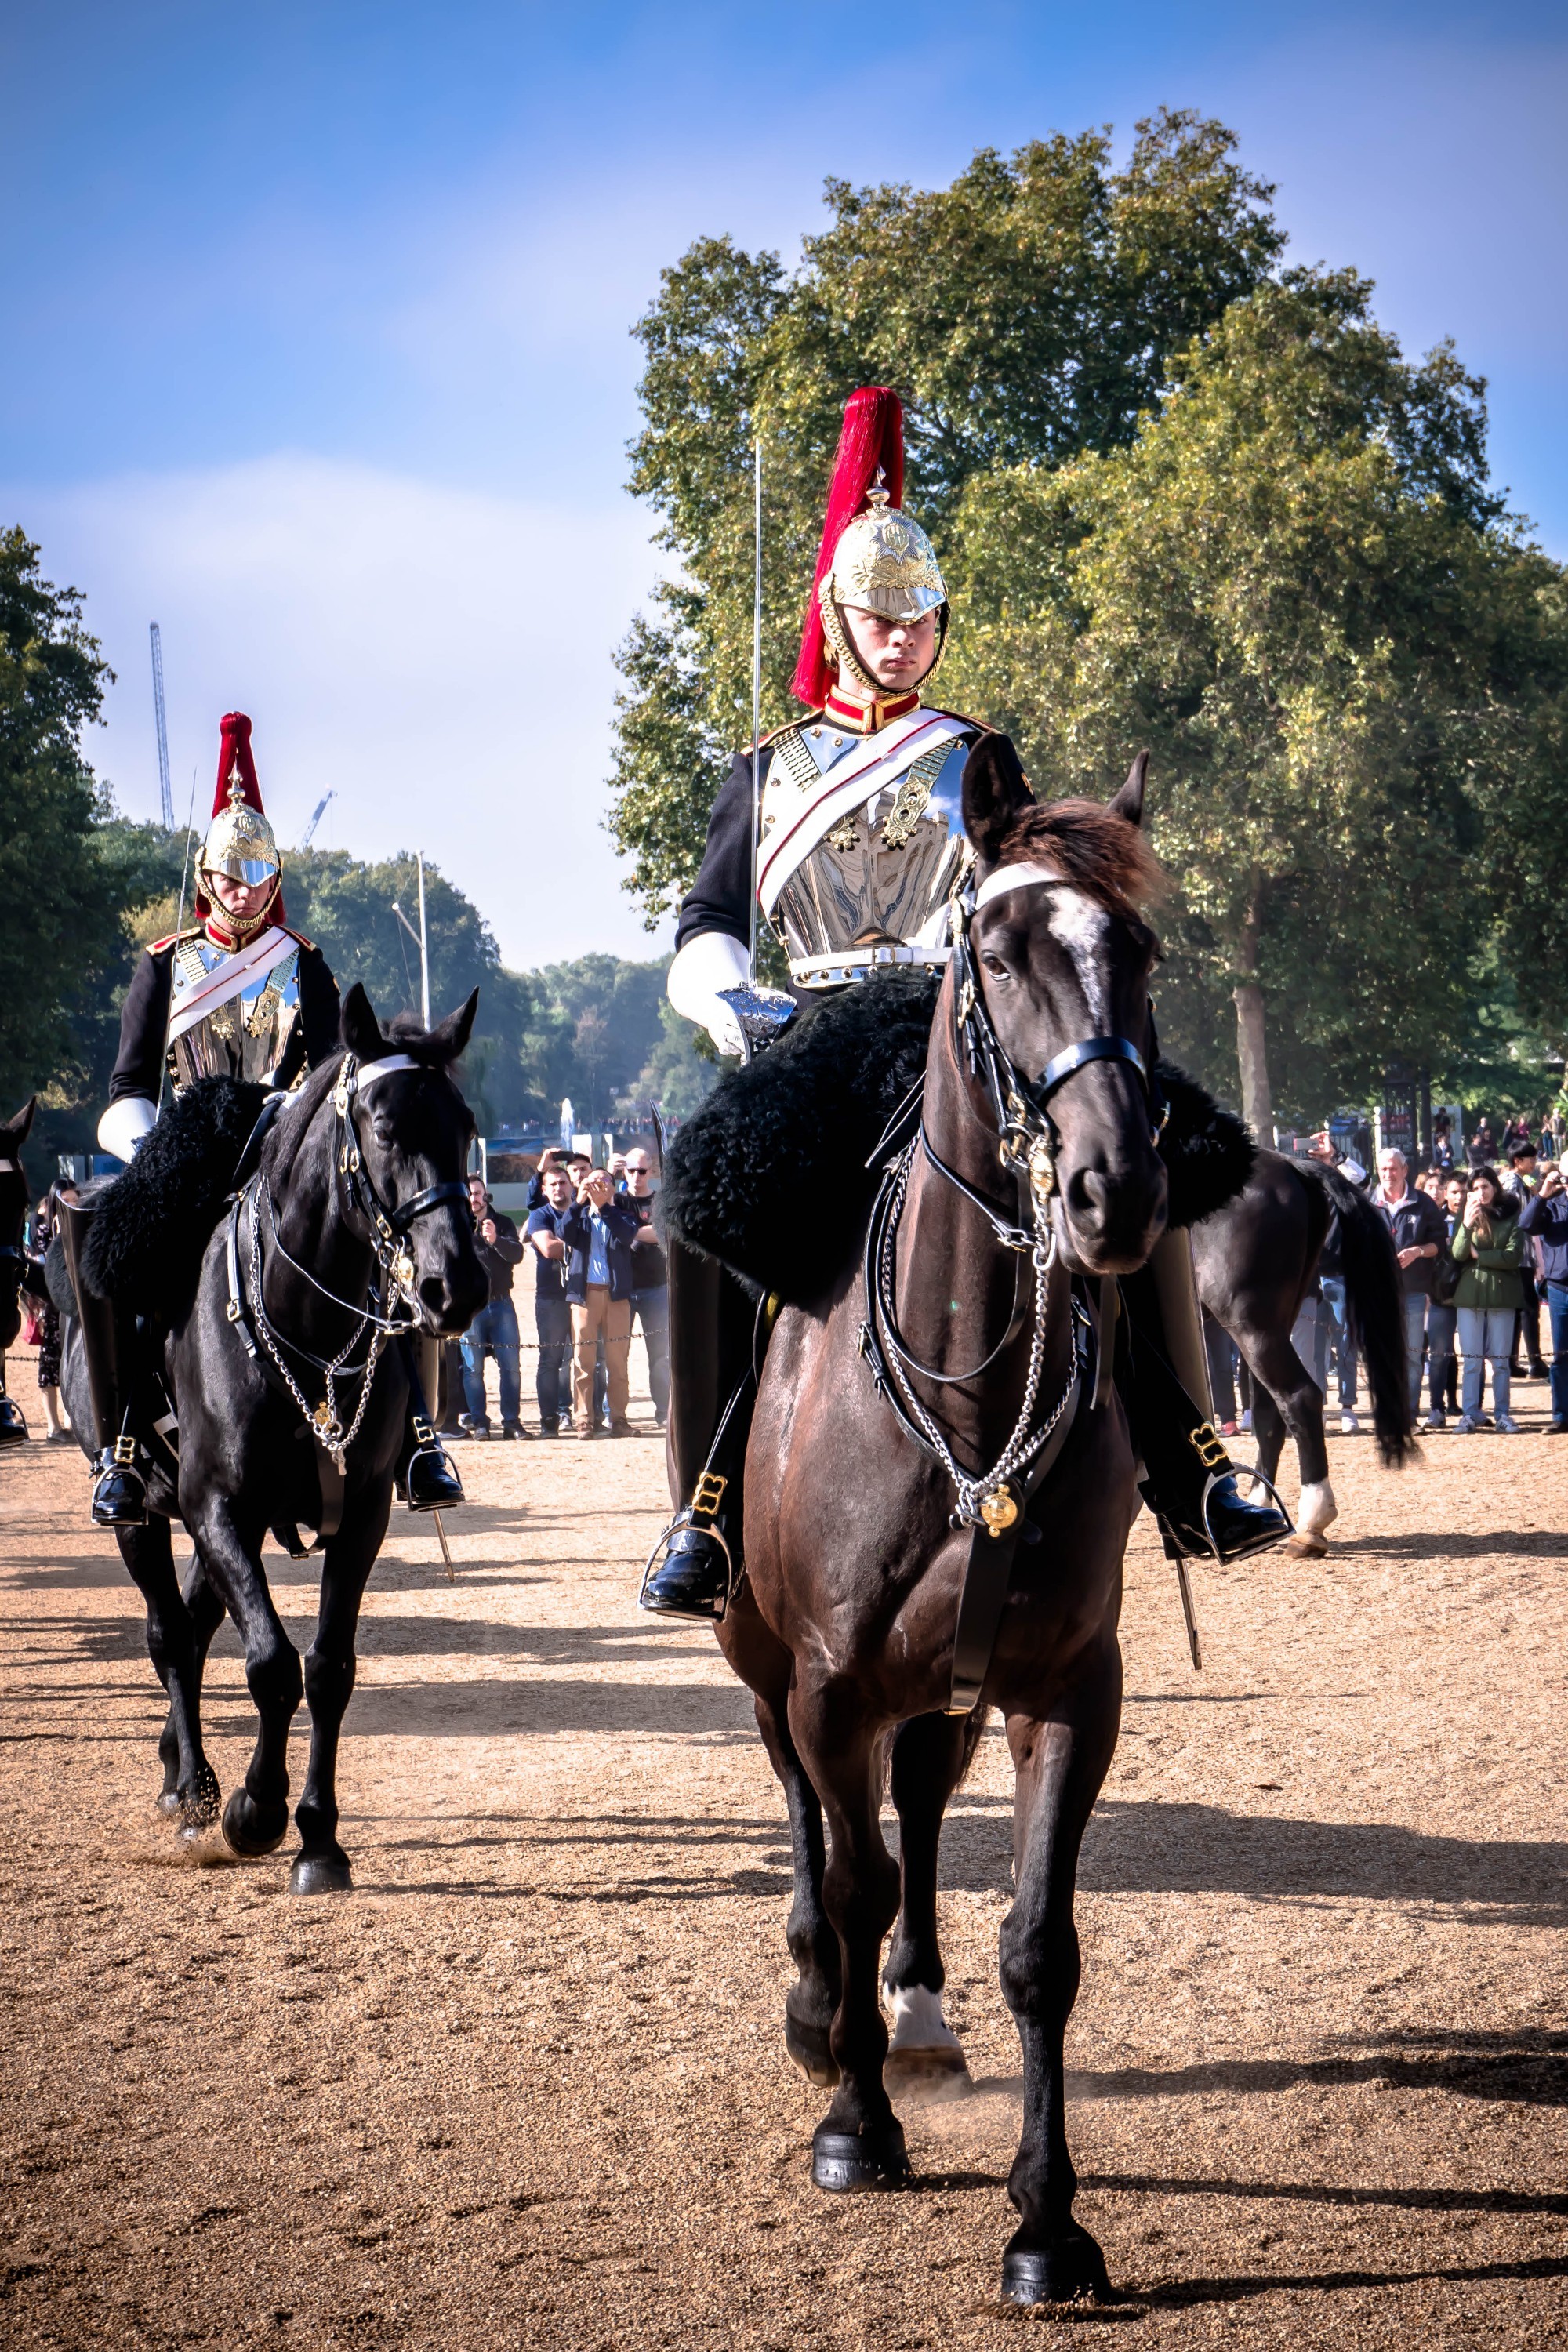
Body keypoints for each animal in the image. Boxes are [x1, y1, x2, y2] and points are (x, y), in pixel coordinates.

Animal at [60, 983, 491, 1882]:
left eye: (464, 1124)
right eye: (384, 1127)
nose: (455, 1286)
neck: (308, 1325)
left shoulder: (358, 1516)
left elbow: (327, 1667)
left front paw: (319, 1838)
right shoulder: (219, 1506)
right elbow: (268, 1664)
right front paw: (254, 1811)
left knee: (193, 1629)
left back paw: (181, 1771)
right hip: (148, 1514)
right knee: (170, 1635)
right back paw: (191, 1791)